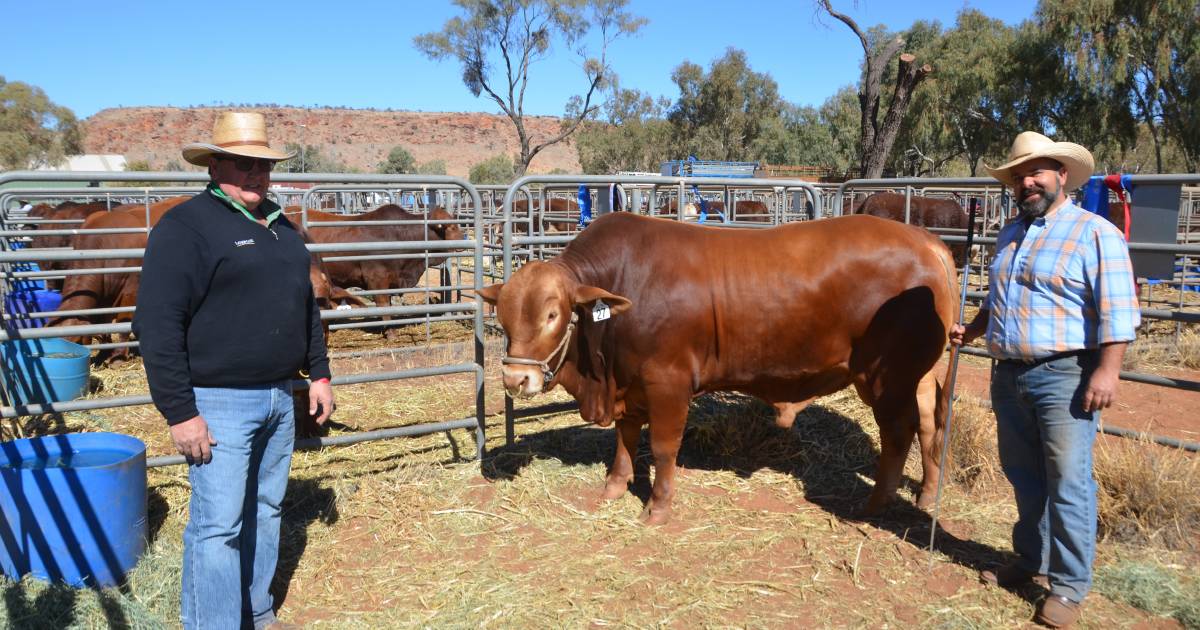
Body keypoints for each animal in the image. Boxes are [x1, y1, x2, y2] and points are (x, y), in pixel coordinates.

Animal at [477, 213, 955, 523]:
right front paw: (614, 485)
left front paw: (657, 507)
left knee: (899, 432)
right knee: (929, 427)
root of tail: (925, 241)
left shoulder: (667, 381)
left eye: (553, 314)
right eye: (503, 315)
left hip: (887, 377)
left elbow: (664, 446)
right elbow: (626, 439)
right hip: (920, 376)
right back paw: (926, 495)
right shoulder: (629, 383)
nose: (515, 378)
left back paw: (874, 505)